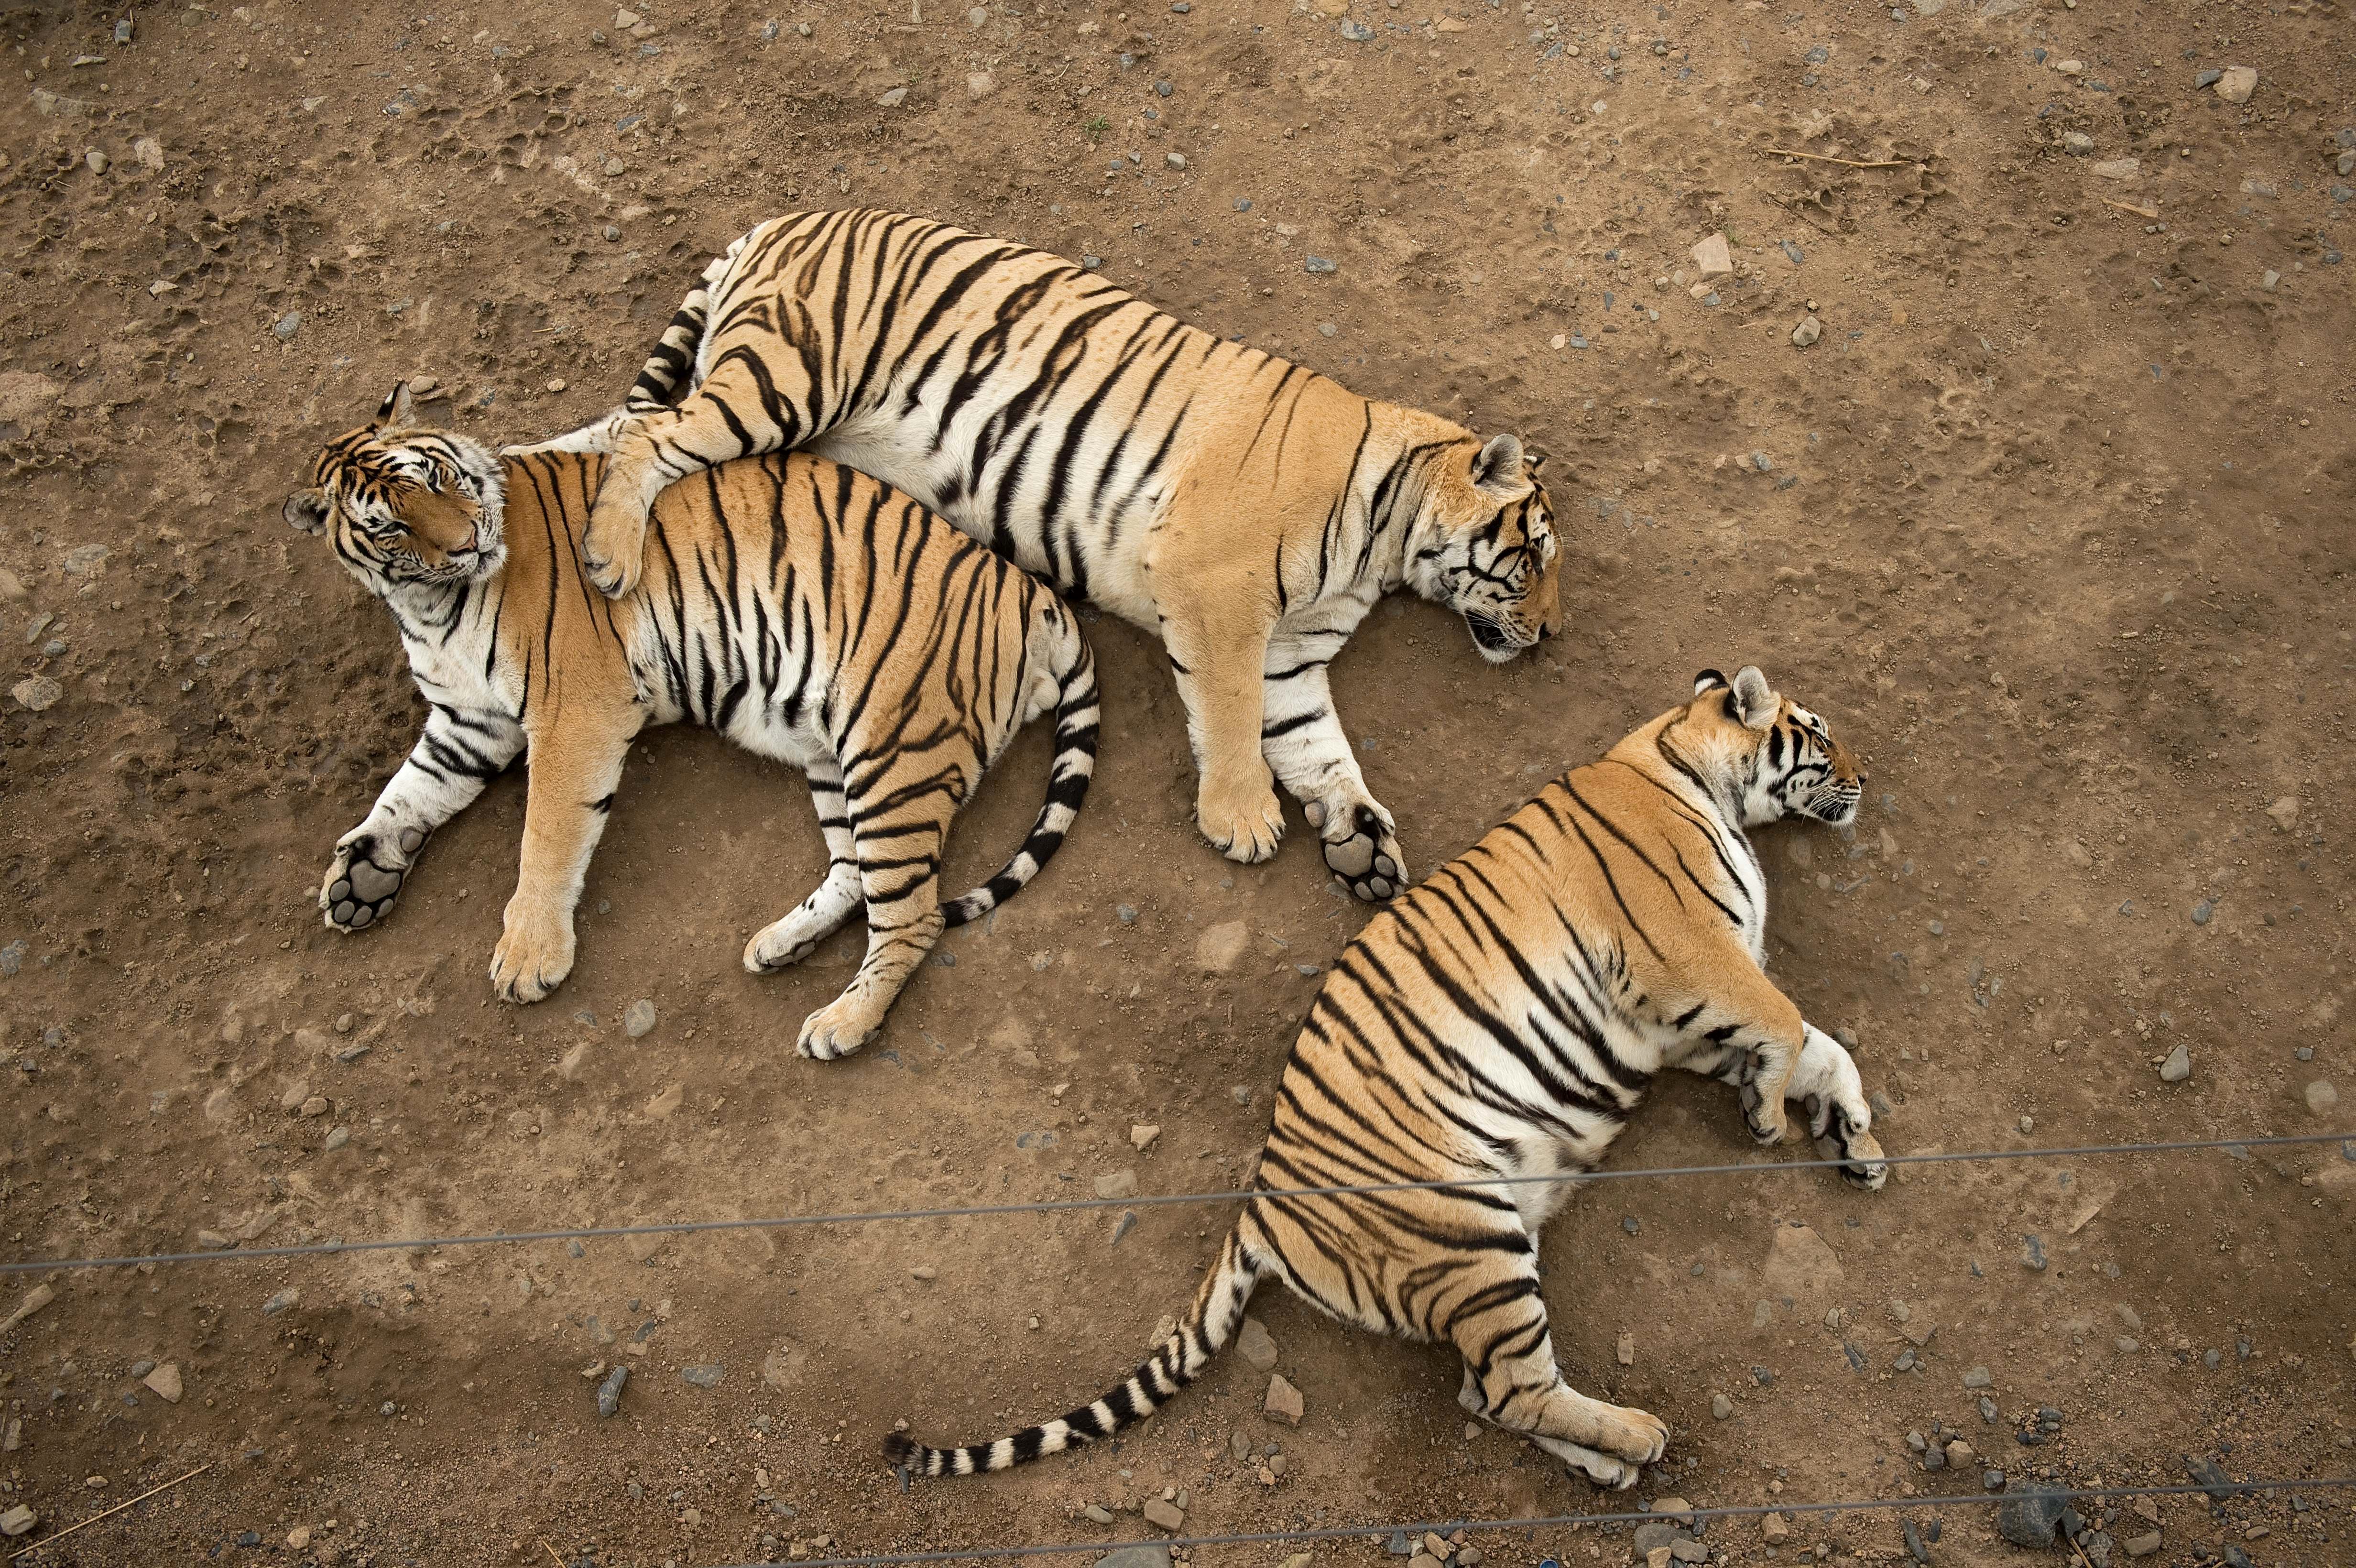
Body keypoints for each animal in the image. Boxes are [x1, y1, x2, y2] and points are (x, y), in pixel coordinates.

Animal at [283, 383, 1093, 1055]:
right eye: (389, 527)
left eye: (437, 479)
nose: (468, 544)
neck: (426, 604)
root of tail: (1034, 595)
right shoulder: (468, 721)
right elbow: (410, 791)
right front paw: (359, 876)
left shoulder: (574, 710)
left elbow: (546, 836)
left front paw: (529, 959)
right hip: (837, 753)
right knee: (857, 877)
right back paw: (782, 945)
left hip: (896, 750)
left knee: (913, 916)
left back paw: (841, 1025)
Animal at [563, 207, 1573, 899]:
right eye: (1533, 555)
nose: (1556, 633)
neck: (1385, 543)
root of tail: (780, 219)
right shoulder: (1216, 592)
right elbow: (1232, 715)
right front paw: (1241, 819)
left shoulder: (1292, 652)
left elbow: (1316, 746)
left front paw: (1360, 841)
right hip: (785, 379)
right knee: (643, 441)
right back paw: (606, 559)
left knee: (614, 432)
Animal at [885, 664, 1894, 1488]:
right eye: (1815, 729)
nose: (1866, 775)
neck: (1684, 763)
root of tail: (1260, 1203)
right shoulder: (1688, 958)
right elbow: (1787, 1021)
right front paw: (1771, 1117)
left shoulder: (1677, 1020)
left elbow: (1821, 1047)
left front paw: (1852, 1142)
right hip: (1473, 1237)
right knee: (1507, 1391)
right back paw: (1636, 1437)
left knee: (1484, 1394)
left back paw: (1606, 1463)